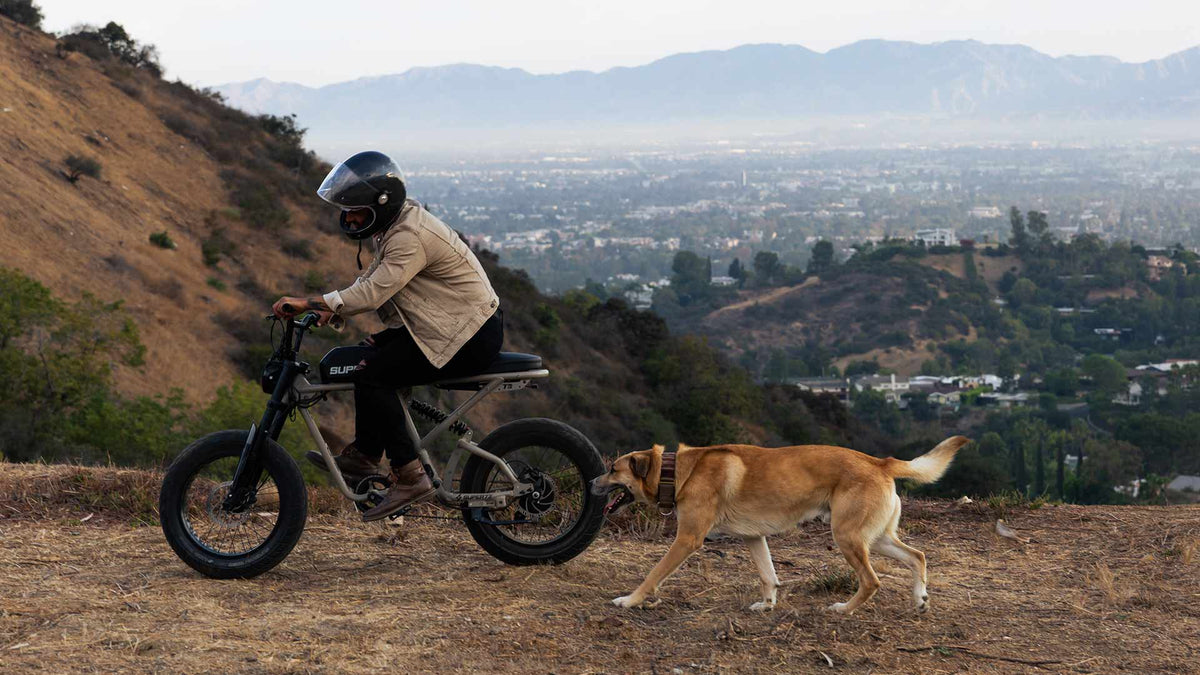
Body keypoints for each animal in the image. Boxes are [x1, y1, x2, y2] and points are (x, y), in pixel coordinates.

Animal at [592, 432, 974, 612]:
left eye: (612, 469)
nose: (593, 483)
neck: (676, 471)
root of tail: (881, 462)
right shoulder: (754, 538)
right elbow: (768, 576)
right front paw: (767, 605)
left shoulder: (687, 539)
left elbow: (653, 574)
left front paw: (630, 600)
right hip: (874, 537)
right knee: (917, 556)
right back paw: (920, 600)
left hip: (847, 536)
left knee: (872, 580)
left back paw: (843, 609)